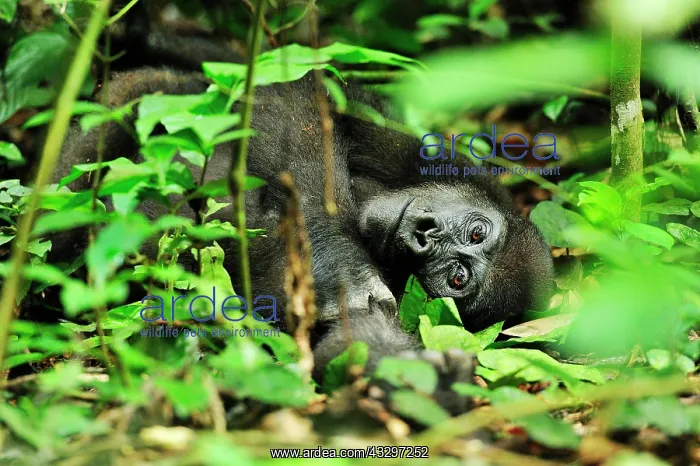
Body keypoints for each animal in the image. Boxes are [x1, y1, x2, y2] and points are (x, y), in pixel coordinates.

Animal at [47, 68, 553, 415]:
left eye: (457, 278)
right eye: (475, 232)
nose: (423, 237)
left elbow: (350, 342)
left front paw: (425, 383)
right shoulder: (426, 153)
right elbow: (299, 97)